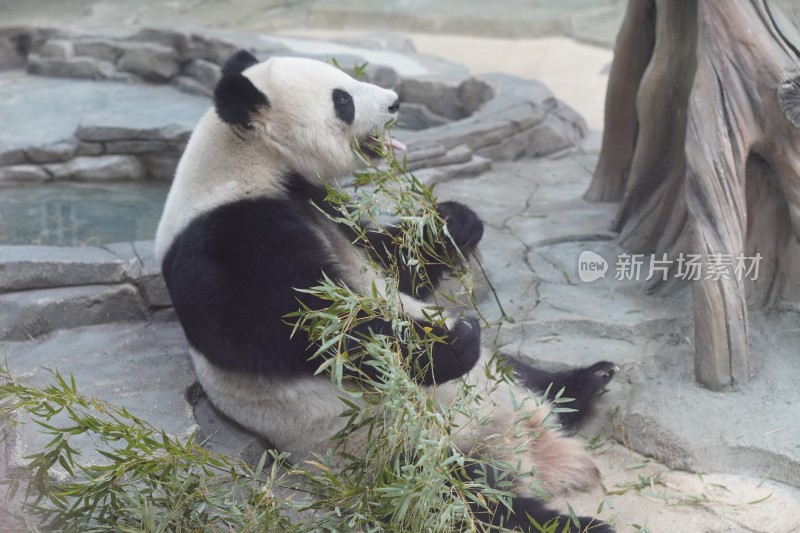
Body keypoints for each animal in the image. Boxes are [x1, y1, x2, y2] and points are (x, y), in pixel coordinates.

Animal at [156, 47, 620, 528]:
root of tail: (525, 447)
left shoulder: (319, 203)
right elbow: (313, 332)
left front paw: (454, 220)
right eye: (342, 99)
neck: (249, 159)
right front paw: (454, 341)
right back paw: (575, 523)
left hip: (494, 382)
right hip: (394, 450)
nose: (395, 102)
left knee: (527, 377)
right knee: (464, 501)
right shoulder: (227, 240)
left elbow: (394, 263)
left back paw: (589, 379)